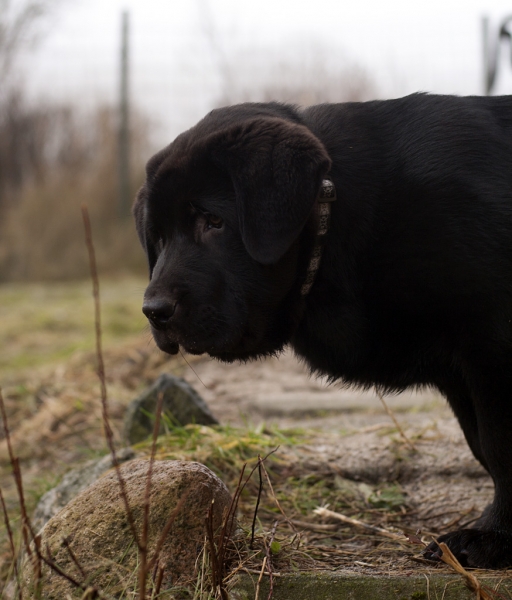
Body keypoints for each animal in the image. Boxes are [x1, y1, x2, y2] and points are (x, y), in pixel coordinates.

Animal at [134, 94, 512, 568]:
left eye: (213, 221)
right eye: (158, 238)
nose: (153, 311)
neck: (338, 214)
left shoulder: (492, 341)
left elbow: (498, 446)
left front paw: (492, 536)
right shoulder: (461, 374)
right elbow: (482, 444)